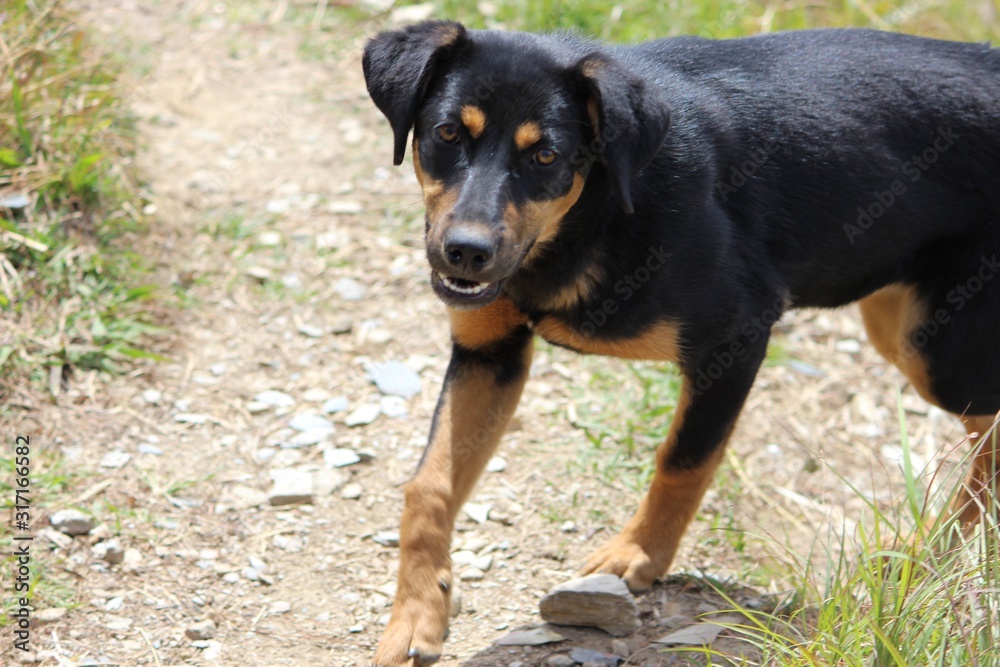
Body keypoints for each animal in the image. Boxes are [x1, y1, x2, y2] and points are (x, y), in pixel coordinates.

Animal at [366, 20, 1000, 667]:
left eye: (545, 156)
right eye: (446, 132)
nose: (465, 253)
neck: (594, 213)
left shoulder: (738, 336)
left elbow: (683, 461)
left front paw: (638, 556)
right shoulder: (489, 354)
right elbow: (429, 488)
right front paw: (417, 616)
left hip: (939, 352)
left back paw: (926, 552)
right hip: (899, 321)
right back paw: (924, 552)